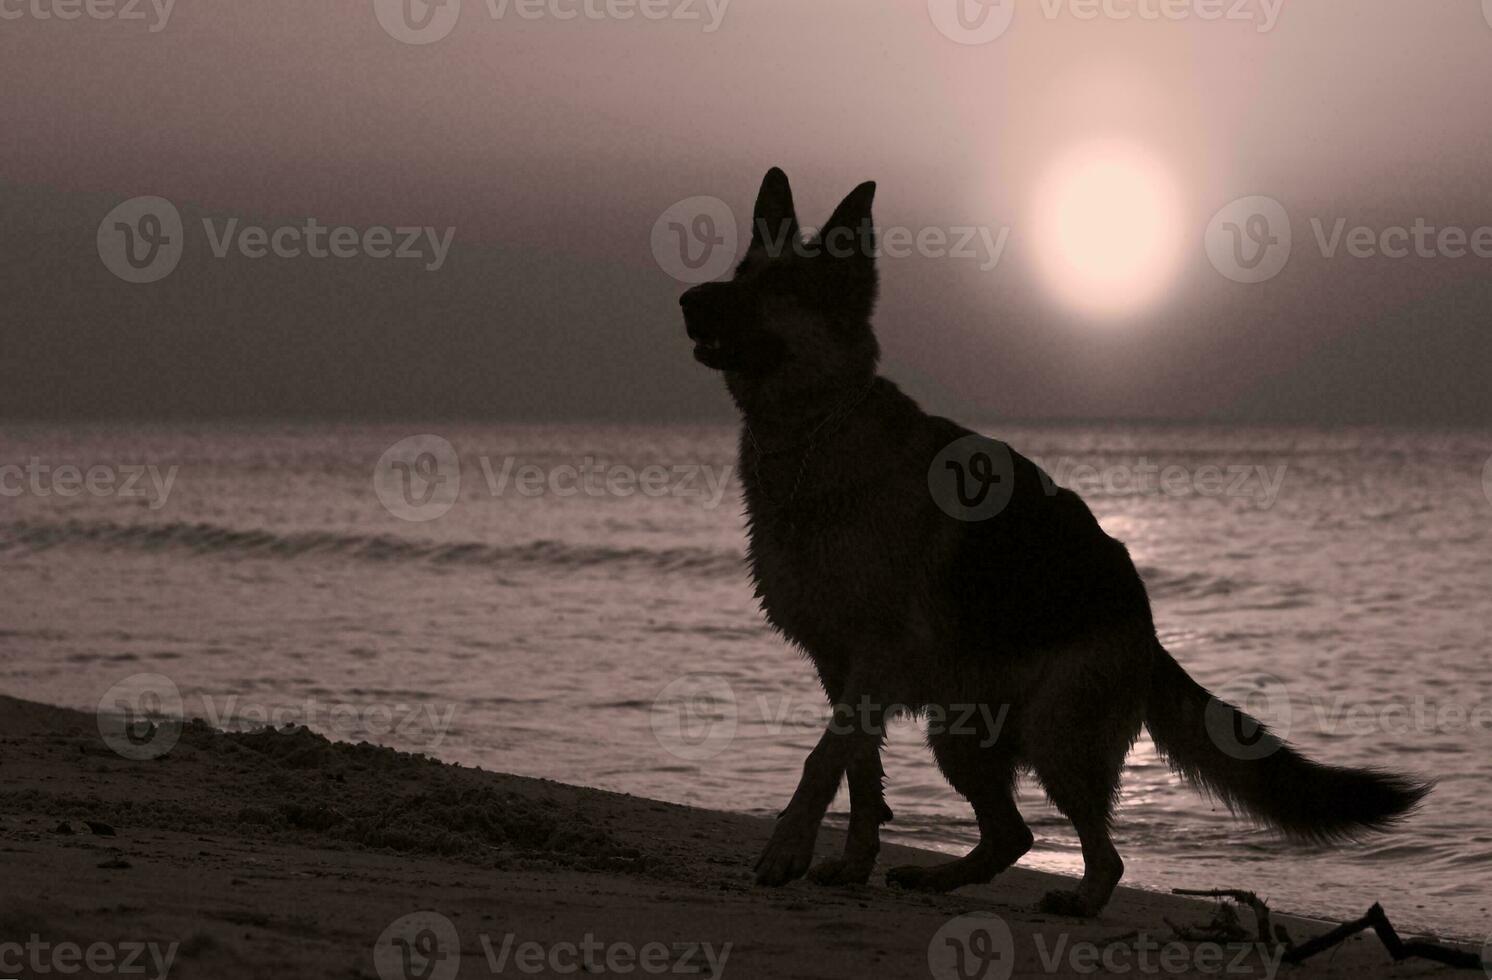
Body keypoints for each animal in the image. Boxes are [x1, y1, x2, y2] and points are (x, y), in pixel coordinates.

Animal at [683, 170, 1426, 918]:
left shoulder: (872, 662)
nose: (688, 300)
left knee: (1103, 852)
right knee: (1012, 834)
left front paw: (785, 851)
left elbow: (821, 762)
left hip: (1052, 737)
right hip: (959, 735)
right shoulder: (840, 667)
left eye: (780, 286)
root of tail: (1146, 623)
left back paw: (1080, 902)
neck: (816, 434)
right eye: (741, 272)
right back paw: (939, 878)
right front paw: (853, 861)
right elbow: (859, 774)